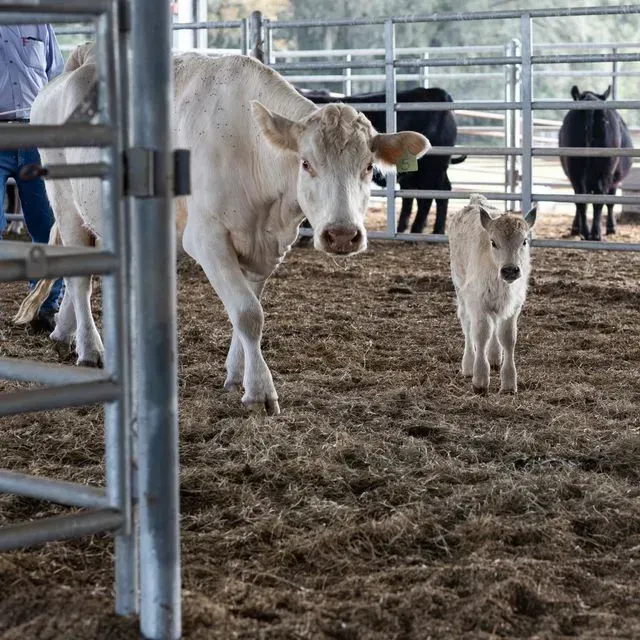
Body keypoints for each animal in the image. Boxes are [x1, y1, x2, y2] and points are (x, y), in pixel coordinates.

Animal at [16, 44, 430, 415]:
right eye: (306, 163)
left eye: (368, 167)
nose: (342, 234)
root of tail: (78, 64)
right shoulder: (207, 239)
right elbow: (248, 313)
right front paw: (260, 391)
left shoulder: (267, 246)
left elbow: (247, 309)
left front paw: (236, 375)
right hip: (65, 201)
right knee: (80, 280)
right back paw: (90, 349)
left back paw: (64, 332)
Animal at [449, 194, 536, 394]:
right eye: (493, 242)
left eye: (524, 241)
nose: (510, 270)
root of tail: (476, 200)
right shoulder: (477, 302)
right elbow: (481, 334)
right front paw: (480, 379)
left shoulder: (514, 305)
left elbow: (508, 337)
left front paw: (509, 382)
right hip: (460, 289)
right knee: (467, 324)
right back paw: (468, 364)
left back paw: (495, 358)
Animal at [559, 85, 633, 241]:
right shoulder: (614, 179)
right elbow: (610, 201)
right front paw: (612, 227)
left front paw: (575, 227)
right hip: (605, 169)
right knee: (599, 198)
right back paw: (596, 233)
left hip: (575, 167)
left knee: (581, 198)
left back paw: (585, 232)